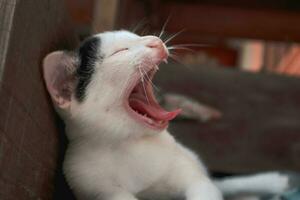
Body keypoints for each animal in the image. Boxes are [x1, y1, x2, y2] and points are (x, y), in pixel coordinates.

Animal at [42, 30, 288, 199]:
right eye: (120, 51)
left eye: (137, 36)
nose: (156, 41)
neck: (128, 144)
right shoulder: (87, 180)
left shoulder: (188, 170)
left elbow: (205, 188)